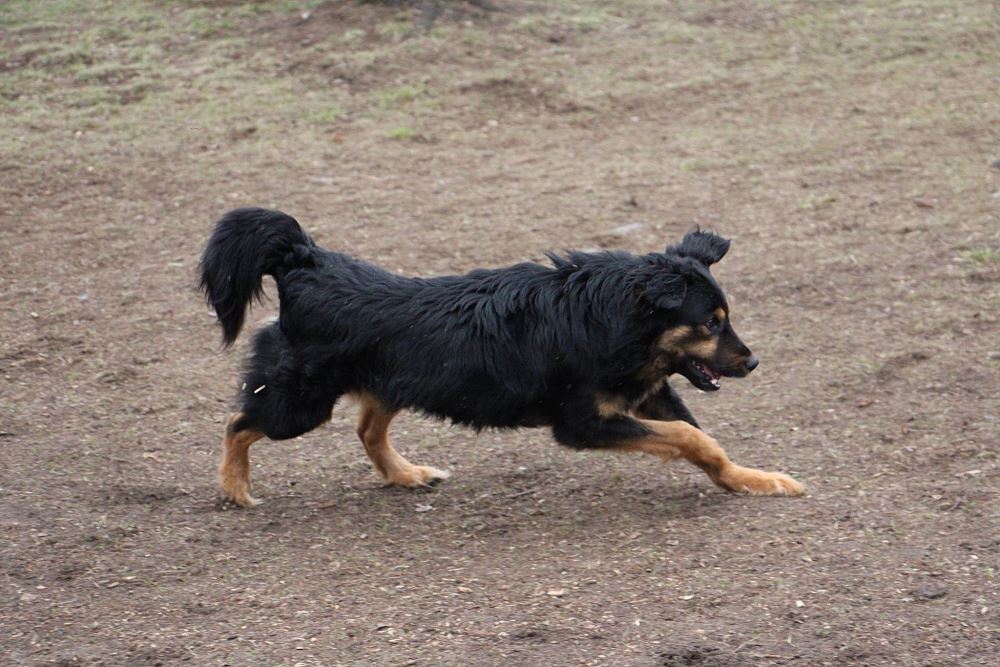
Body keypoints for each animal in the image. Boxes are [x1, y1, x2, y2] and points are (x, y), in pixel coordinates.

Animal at [199, 208, 804, 507]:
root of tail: (304, 261)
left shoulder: (645, 392)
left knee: (367, 430)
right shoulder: (583, 422)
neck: (610, 318)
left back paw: (406, 474)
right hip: (299, 403)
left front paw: (752, 481)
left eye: (727, 317)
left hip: (393, 380)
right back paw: (235, 488)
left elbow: (708, 445)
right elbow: (690, 438)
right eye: (712, 322)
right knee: (237, 424)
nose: (752, 362)